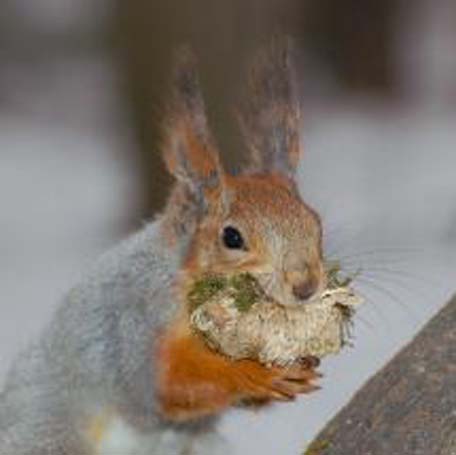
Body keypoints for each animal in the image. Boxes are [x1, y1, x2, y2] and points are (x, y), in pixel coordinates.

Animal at [0, 39, 328, 455]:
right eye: (232, 238)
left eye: (315, 221)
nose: (306, 286)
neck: (179, 274)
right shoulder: (135, 324)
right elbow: (166, 386)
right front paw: (252, 373)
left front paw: (299, 367)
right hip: (48, 434)